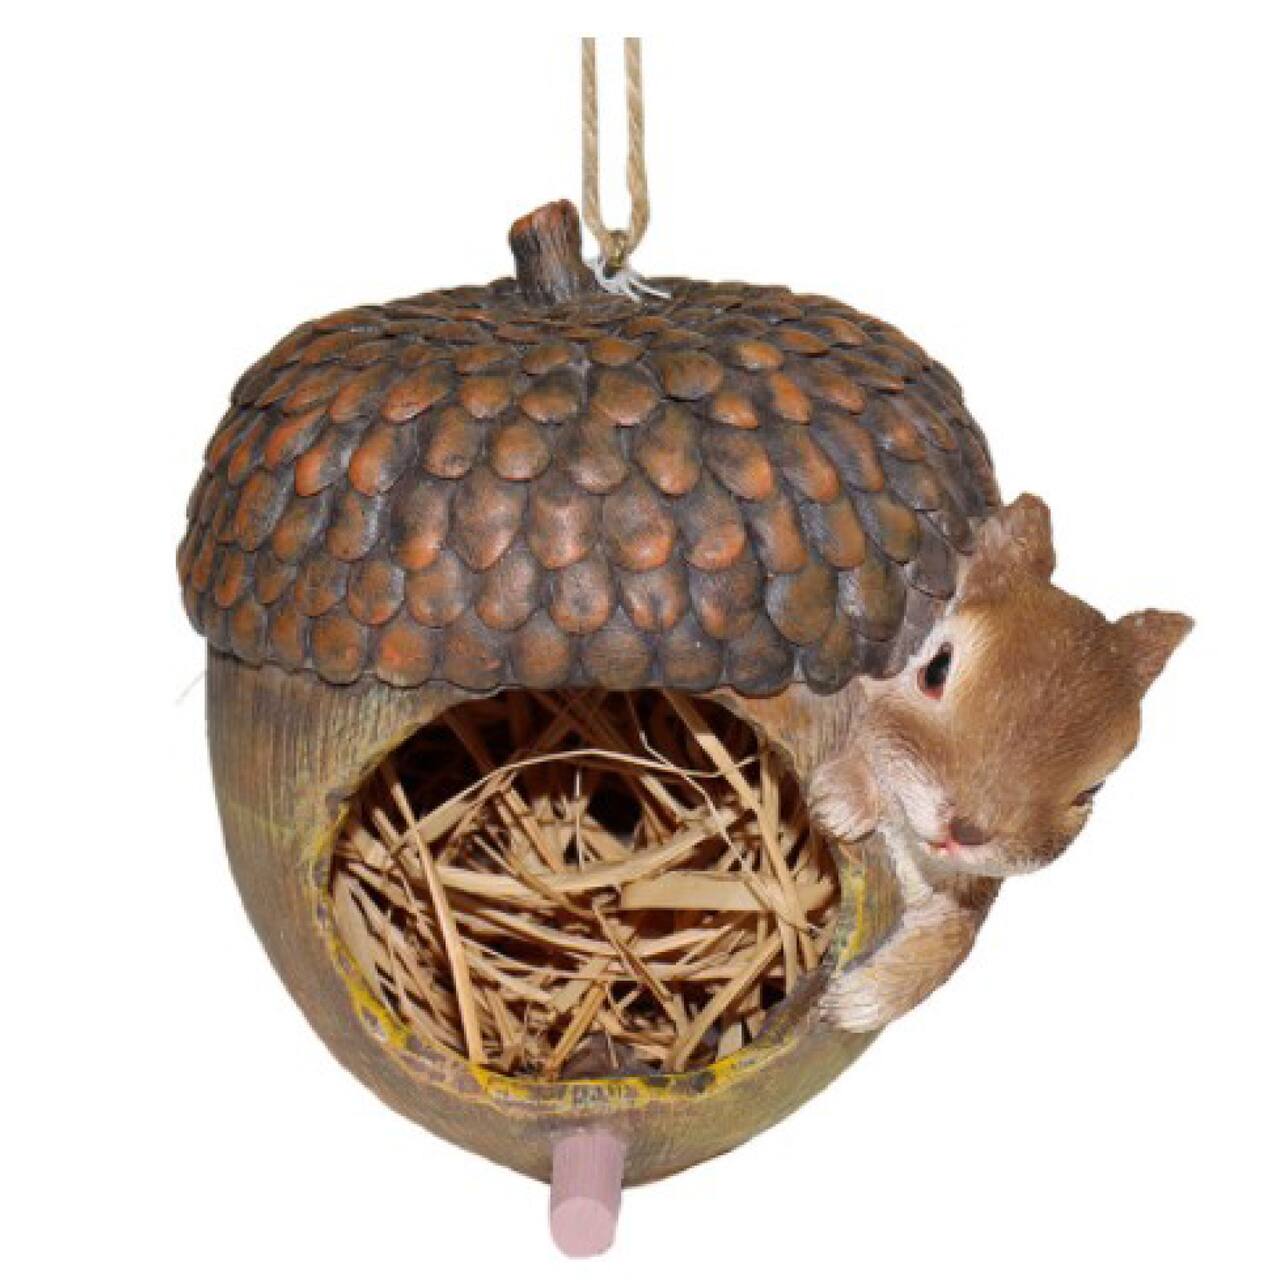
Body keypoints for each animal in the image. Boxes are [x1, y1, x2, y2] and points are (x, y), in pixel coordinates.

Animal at [747, 493, 1192, 1034]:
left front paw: (858, 1003)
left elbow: (955, 941)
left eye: (1094, 788)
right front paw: (842, 803)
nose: (965, 831)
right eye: (936, 670)